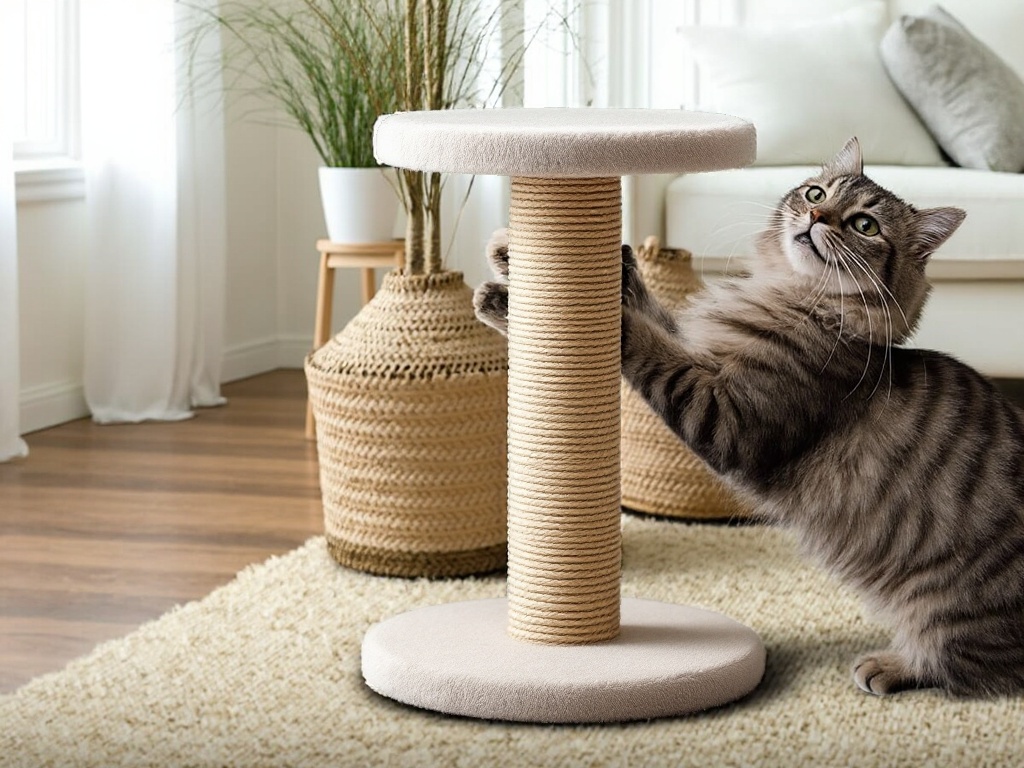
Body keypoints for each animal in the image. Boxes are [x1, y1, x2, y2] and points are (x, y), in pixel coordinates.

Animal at [477, 138, 1024, 696]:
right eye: (816, 193)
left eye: (864, 225)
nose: (816, 216)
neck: (791, 295)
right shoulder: (700, 347)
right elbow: (653, 311)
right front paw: (513, 259)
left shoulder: (723, 412)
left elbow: (644, 341)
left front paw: (546, 299)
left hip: (941, 611)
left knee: (965, 670)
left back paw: (889, 665)